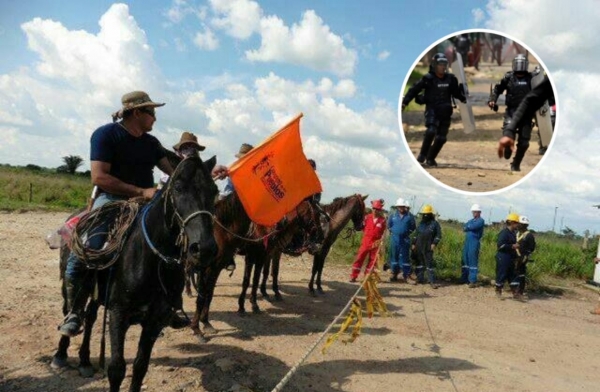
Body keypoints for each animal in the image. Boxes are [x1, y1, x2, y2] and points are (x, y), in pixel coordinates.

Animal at [49, 155, 218, 390]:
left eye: (214, 190)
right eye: (178, 188)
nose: (205, 248)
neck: (151, 259)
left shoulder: (155, 321)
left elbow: (140, 367)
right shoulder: (118, 314)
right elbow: (117, 369)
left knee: (90, 317)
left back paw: (84, 361)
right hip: (69, 284)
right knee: (71, 310)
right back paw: (61, 354)